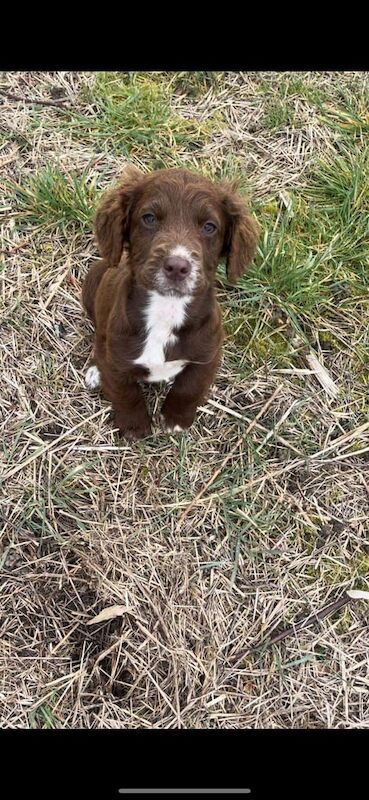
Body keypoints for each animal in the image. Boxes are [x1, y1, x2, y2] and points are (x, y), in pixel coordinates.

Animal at [82, 166, 258, 440]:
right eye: (149, 218)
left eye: (209, 227)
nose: (177, 266)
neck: (166, 310)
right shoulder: (115, 356)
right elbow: (125, 392)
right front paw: (134, 426)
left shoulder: (208, 356)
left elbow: (189, 388)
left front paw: (176, 420)